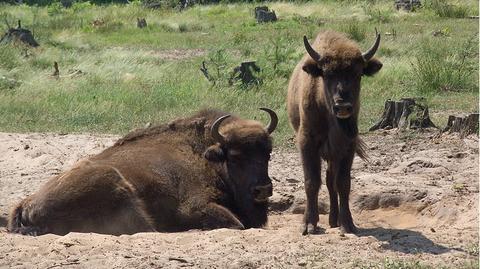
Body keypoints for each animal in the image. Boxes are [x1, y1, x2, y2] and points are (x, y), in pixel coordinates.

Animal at [7, 108, 278, 234]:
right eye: (235, 156)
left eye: (268, 153)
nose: (262, 189)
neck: (205, 155)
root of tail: (25, 203)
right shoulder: (195, 206)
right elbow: (236, 224)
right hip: (116, 184)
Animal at [286, 30, 384, 233]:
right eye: (327, 74)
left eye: (358, 74)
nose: (343, 106)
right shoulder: (307, 143)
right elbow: (311, 182)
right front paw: (309, 224)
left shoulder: (347, 146)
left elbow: (343, 183)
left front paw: (348, 224)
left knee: (331, 181)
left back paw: (334, 219)